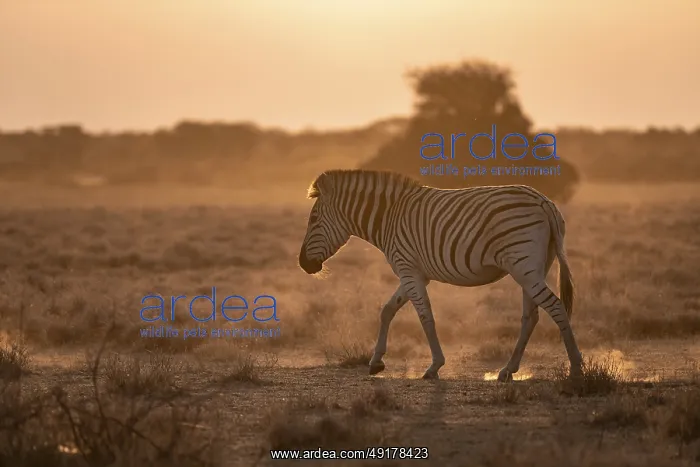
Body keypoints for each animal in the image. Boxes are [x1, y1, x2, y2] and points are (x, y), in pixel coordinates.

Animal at [298, 169, 583, 382]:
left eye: (313, 219)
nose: (302, 264)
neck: (389, 217)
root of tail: (543, 201)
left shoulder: (407, 269)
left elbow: (425, 316)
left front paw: (434, 366)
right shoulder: (413, 272)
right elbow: (388, 310)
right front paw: (376, 362)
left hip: (523, 264)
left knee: (555, 307)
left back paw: (576, 369)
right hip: (532, 267)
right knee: (530, 316)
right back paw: (507, 370)